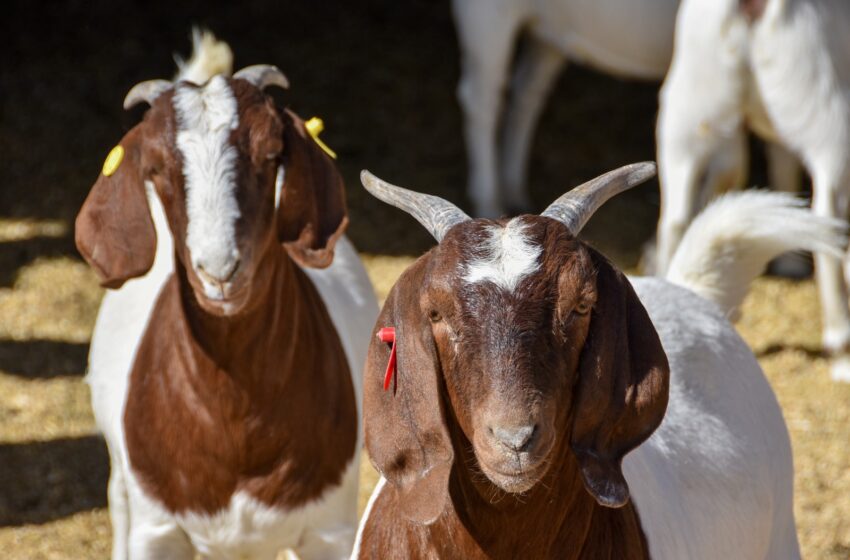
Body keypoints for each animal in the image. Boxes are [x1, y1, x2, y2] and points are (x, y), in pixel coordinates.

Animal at [450, 0, 796, 219]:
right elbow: (729, 166)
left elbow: (781, 156)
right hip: (487, 18)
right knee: (481, 100)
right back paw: (487, 199)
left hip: (548, 34)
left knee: (527, 94)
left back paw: (514, 190)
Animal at [652, 0, 848, 382]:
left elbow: (780, 162)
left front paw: (789, 262)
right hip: (829, 110)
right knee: (831, 218)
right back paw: (841, 348)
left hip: (688, 109)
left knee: (675, 217)